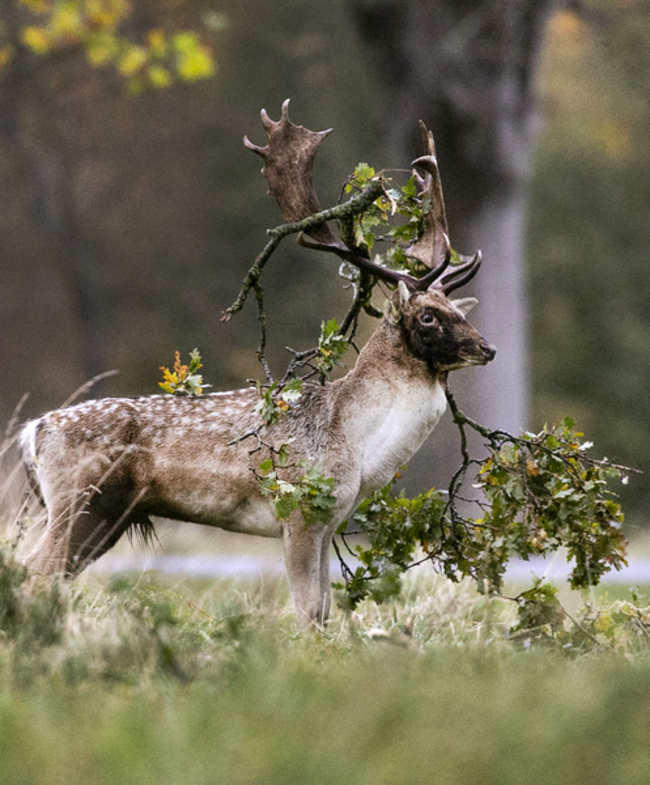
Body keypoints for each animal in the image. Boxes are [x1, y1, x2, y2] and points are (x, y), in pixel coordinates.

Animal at [19, 102, 495, 628]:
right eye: (428, 316)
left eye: (458, 311)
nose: (487, 348)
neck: (355, 445)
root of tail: (34, 429)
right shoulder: (299, 509)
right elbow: (308, 610)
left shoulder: (329, 521)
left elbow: (324, 610)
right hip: (83, 500)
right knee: (32, 572)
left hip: (103, 516)